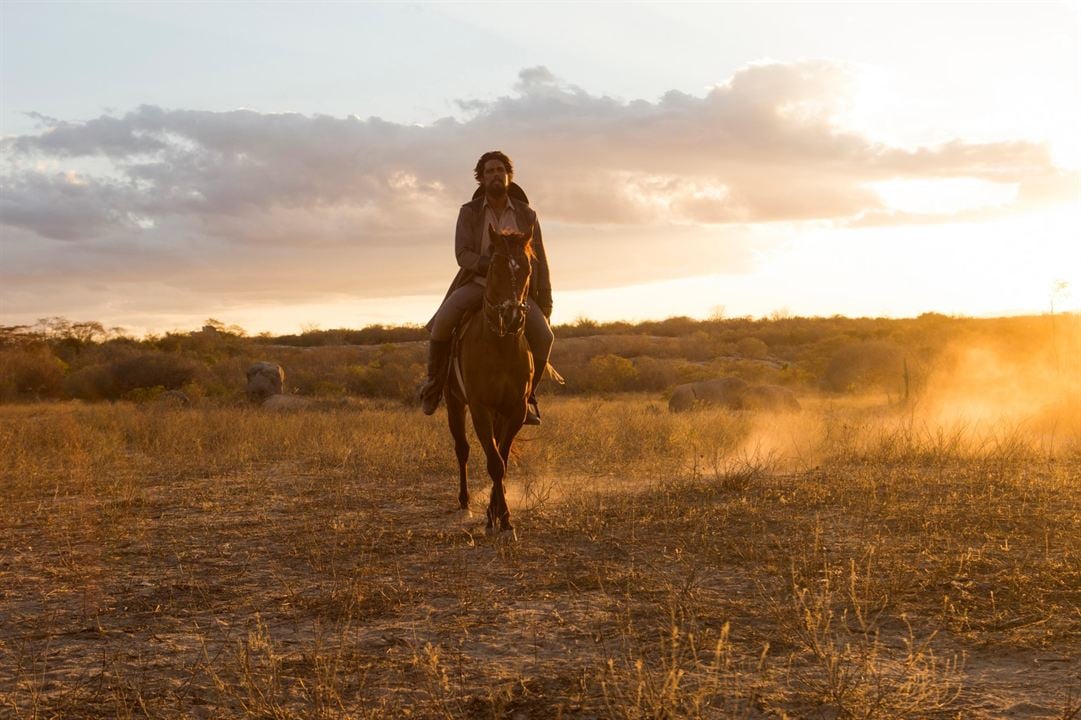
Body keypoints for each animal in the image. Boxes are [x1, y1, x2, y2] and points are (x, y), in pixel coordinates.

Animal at [445, 225, 534, 538]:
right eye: (494, 266)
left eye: (528, 268)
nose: (512, 316)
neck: (500, 345)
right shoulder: (479, 407)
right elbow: (494, 463)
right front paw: (501, 519)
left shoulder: (516, 409)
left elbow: (502, 459)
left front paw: (498, 514)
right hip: (454, 404)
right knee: (462, 450)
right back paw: (464, 502)